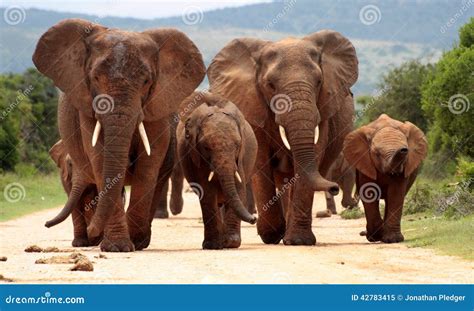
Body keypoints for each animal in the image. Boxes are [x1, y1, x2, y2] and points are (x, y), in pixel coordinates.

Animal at [31, 19, 206, 252]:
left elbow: (149, 164)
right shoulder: (87, 105)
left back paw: (140, 240)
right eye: (95, 78)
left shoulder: (157, 105)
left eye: (146, 81)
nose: (93, 231)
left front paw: (133, 242)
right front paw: (117, 247)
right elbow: (99, 158)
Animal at [178, 91, 258, 250]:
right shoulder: (195, 156)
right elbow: (207, 192)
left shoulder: (240, 159)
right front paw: (213, 245)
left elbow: (239, 187)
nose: (254, 218)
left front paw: (231, 243)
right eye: (206, 147)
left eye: (238, 145)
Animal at [208, 31, 360, 246]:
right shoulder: (253, 107)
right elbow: (261, 161)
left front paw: (298, 241)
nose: (334, 188)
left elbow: (311, 157)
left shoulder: (323, 111)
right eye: (270, 85)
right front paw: (271, 235)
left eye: (319, 82)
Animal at [342, 114, 428, 244]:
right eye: (377, 154)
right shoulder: (366, 163)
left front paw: (393, 240)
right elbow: (369, 193)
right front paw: (375, 237)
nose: (403, 149)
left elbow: (395, 194)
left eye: (407, 151)